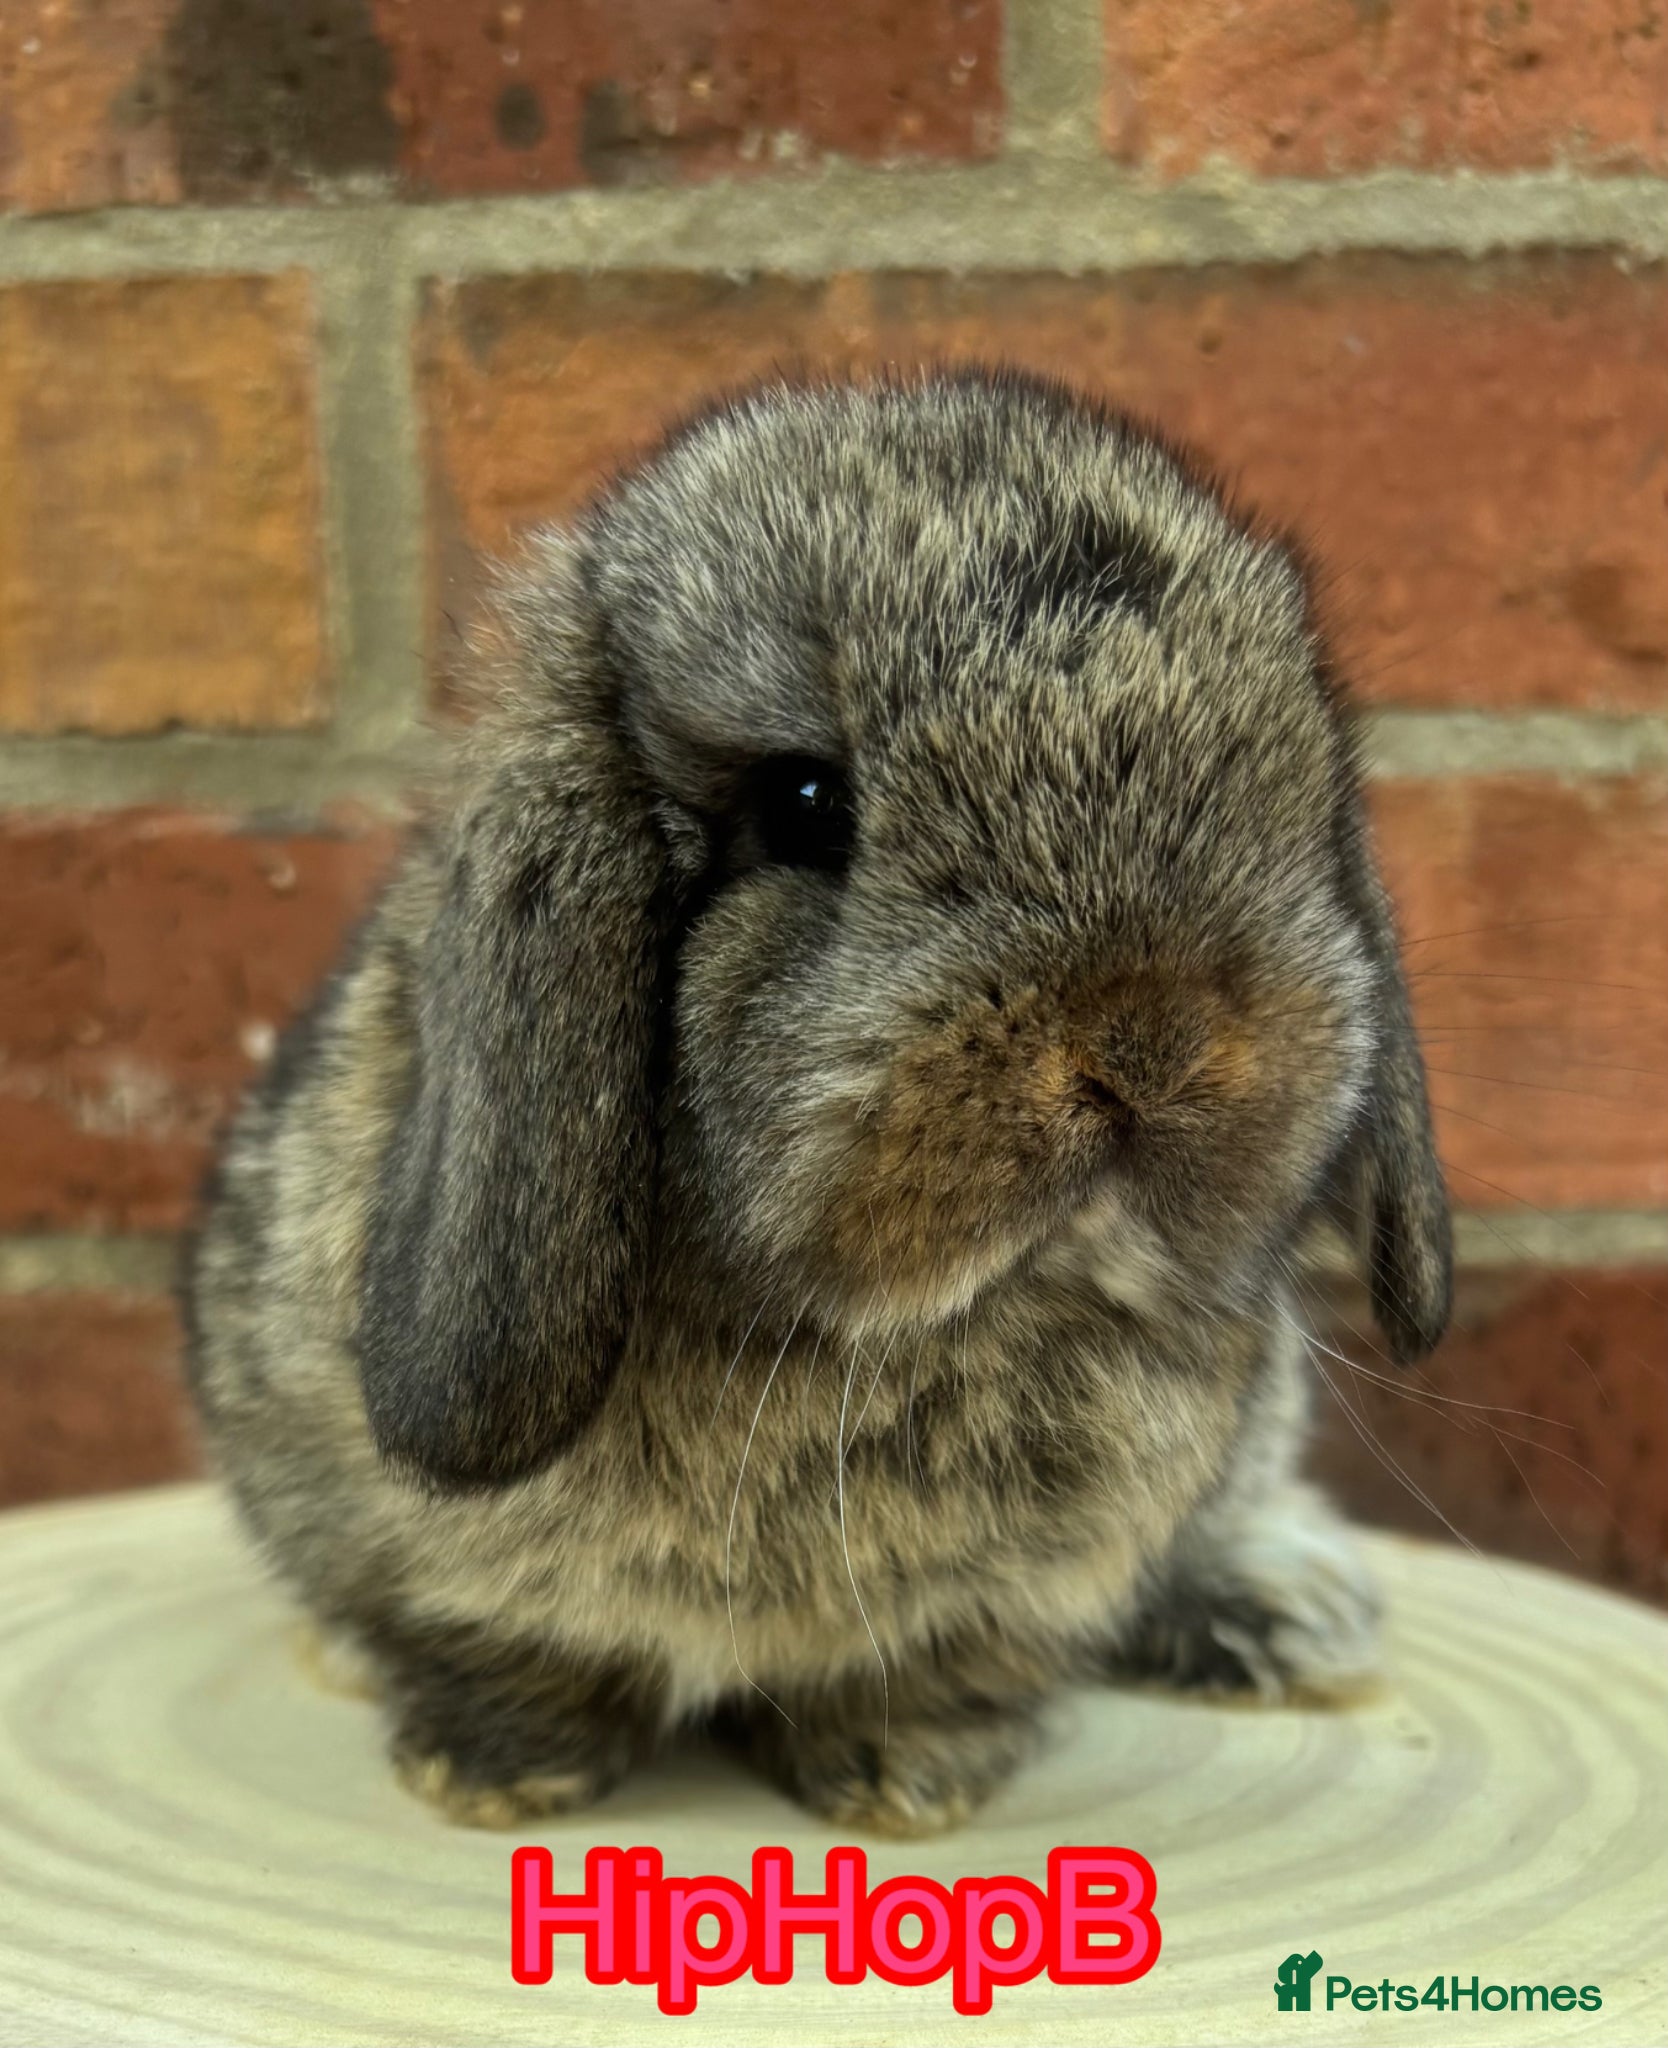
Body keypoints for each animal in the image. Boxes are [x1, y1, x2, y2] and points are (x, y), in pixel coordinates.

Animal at [183, 367, 1451, 1837]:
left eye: (1286, 794)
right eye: (803, 802)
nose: (1149, 1045)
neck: (884, 1342)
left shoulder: (1013, 1597)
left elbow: (938, 1671)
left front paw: (909, 1786)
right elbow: (494, 1648)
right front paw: (492, 1775)